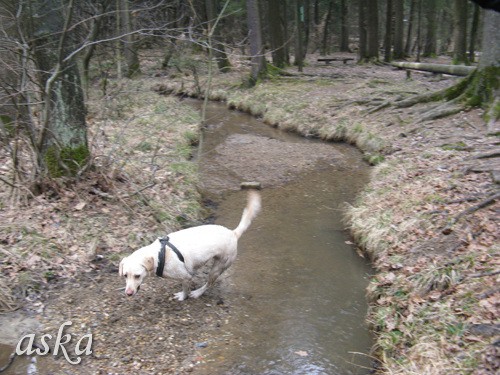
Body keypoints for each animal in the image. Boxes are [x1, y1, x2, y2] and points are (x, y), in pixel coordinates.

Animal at [118, 192, 262, 302]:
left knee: (209, 283)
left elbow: (185, 289)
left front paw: (182, 297)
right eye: (125, 275)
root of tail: (233, 233)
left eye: (137, 276)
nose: (128, 293)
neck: (159, 255)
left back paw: (198, 292)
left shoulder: (186, 276)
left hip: (218, 267)